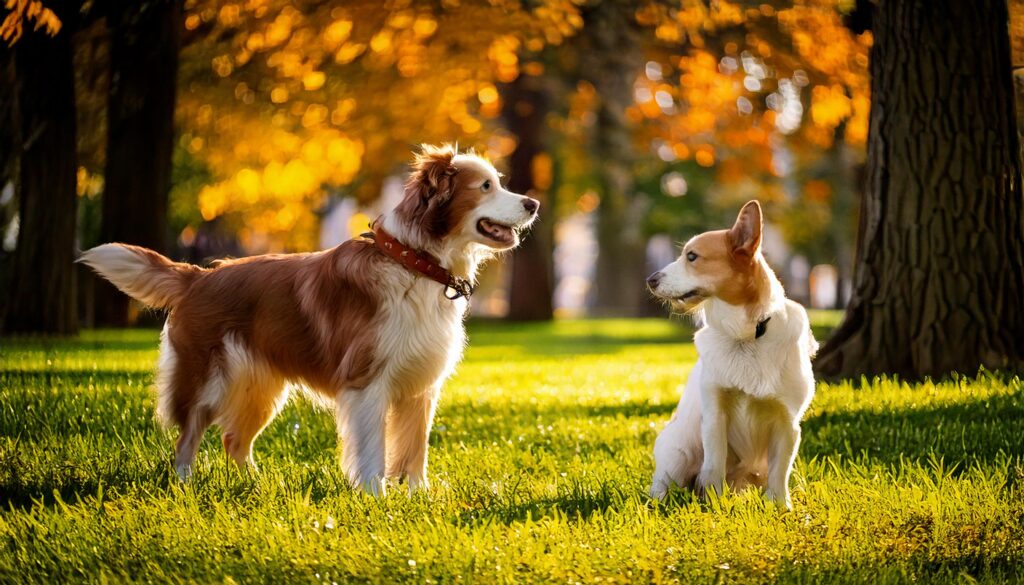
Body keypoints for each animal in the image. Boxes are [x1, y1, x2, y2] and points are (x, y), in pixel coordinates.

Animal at [79, 144, 540, 495]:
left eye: (499, 182)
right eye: (486, 186)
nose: (534, 202)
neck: (415, 263)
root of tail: (198, 276)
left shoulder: (420, 387)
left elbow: (413, 451)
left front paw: (417, 496)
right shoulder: (366, 380)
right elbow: (373, 449)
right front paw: (375, 496)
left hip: (263, 390)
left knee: (233, 440)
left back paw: (257, 486)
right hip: (206, 381)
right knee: (187, 437)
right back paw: (184, 485)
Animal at [647, 200, 815, 508]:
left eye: (692, 256)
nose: (650, 280)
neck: (746, 337)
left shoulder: (788, 423)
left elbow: (779, 474)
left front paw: (780, 507)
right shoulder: (715, 414)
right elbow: (713, 466)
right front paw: (714, 504)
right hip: (677, 450)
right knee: (663, 483)